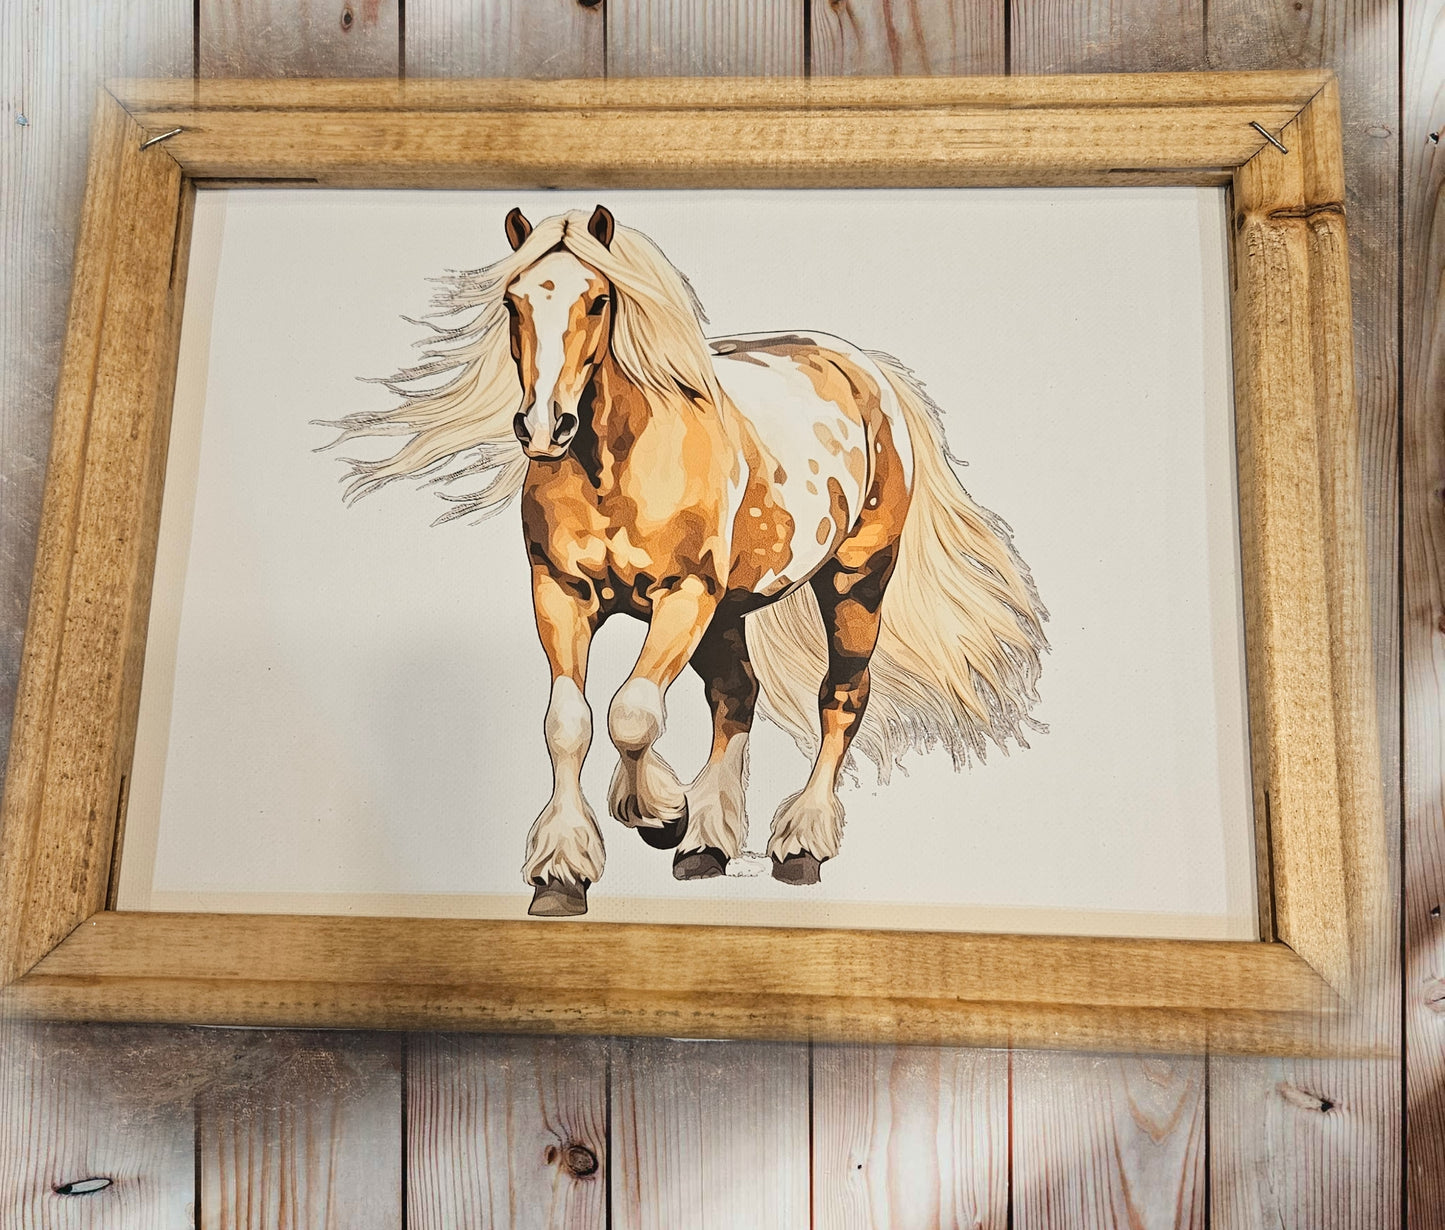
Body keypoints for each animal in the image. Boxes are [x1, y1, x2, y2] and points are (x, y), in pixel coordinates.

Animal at [324, 205, 1049, 917]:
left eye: (599, 299)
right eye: (513, 299)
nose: (543, 427)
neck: (614, 466)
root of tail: (866, 370)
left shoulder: (683, 595)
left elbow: (631, 712)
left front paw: (658, 814)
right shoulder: (560, 593)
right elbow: (568, 723)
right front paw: (562, 872)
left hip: (854, 578)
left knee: (841, 696)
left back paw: (799, 844)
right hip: (727, 612)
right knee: (737, 696)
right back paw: (706, 846)